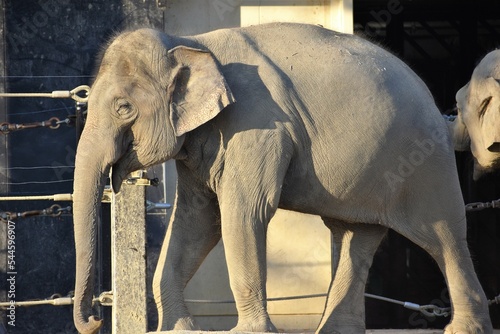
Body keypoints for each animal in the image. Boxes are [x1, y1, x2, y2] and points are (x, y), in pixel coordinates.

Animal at [72, 23, 494, 334]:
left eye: (123, 108)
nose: (93, 320)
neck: (189, 42)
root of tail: (439, 108)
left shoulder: (258, 125)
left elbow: (245, 213)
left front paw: (249, 333)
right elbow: (197, 220)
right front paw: (178, 330)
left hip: (426, 163)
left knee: (444, 237)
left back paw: (465, 329)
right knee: (355, 237)